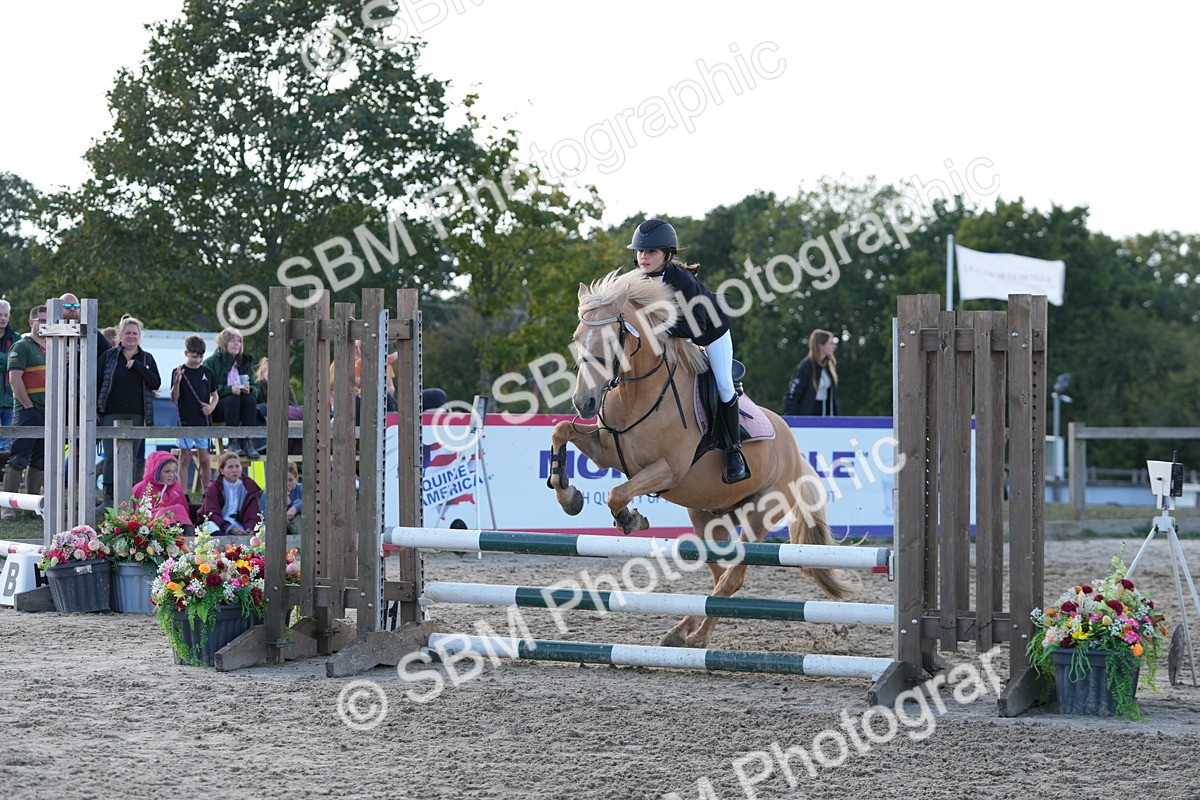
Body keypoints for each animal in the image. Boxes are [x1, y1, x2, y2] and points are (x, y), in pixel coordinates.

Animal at [546, 269, 855, 648]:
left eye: (611, 340)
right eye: (577, 338)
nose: (584, 402)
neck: (638, 392)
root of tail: (794, 451)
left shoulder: (667, 471)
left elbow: (618, 494)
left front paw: (631, 520)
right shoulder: (608, 453)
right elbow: (562, 431)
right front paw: (569, 496)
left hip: (759, 514)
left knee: (732, 578)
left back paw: (693, 637)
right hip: (708, 515)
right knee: (718, 574)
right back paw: (682, 630)